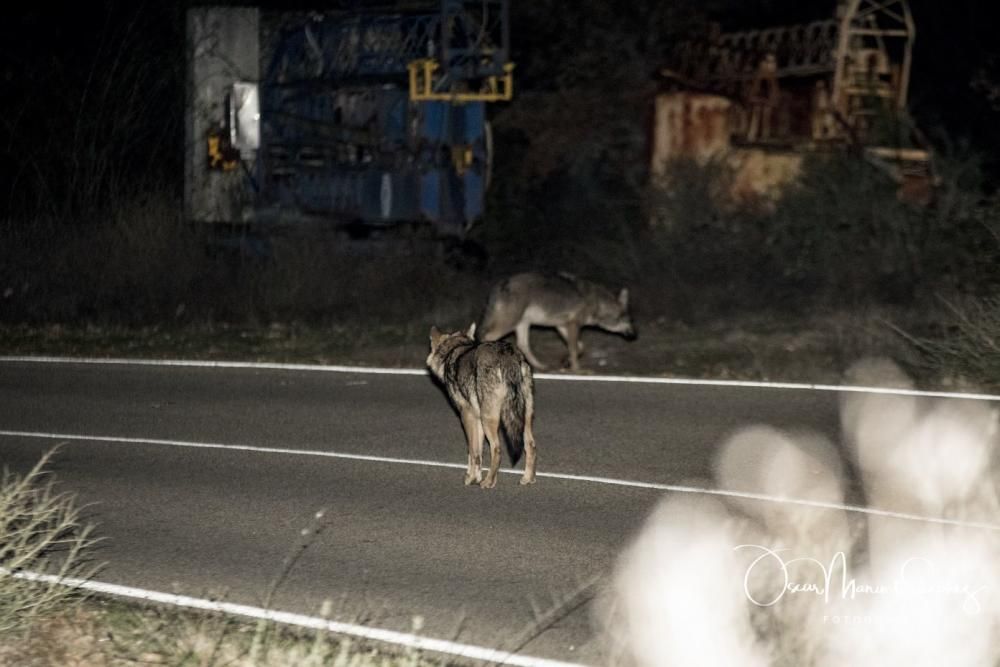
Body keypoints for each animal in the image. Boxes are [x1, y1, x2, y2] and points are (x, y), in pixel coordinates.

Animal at [428, 324, 540, 490]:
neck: (455, 349)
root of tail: (508, 355)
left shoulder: (466, 416)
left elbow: (472, 450)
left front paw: (471, 478)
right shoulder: (477, 418)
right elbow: (478, 453)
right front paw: (475, 476)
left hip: (490, 420)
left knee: (497, 448)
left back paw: (489, 481)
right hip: (522, 418)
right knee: (531, 446)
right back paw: (527, 478)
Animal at [478, 272, 636, 376]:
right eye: (628, 320)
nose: (635, 334)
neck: (597, 302)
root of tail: (499, 285)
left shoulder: (561, 326)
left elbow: (580, 347)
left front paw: (565, 362)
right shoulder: (573, 324)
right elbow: (574, 349)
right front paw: (577, 370)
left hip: (522, 324)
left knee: (523, 345)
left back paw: (541, 366)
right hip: (509, 324)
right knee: (486, 337)